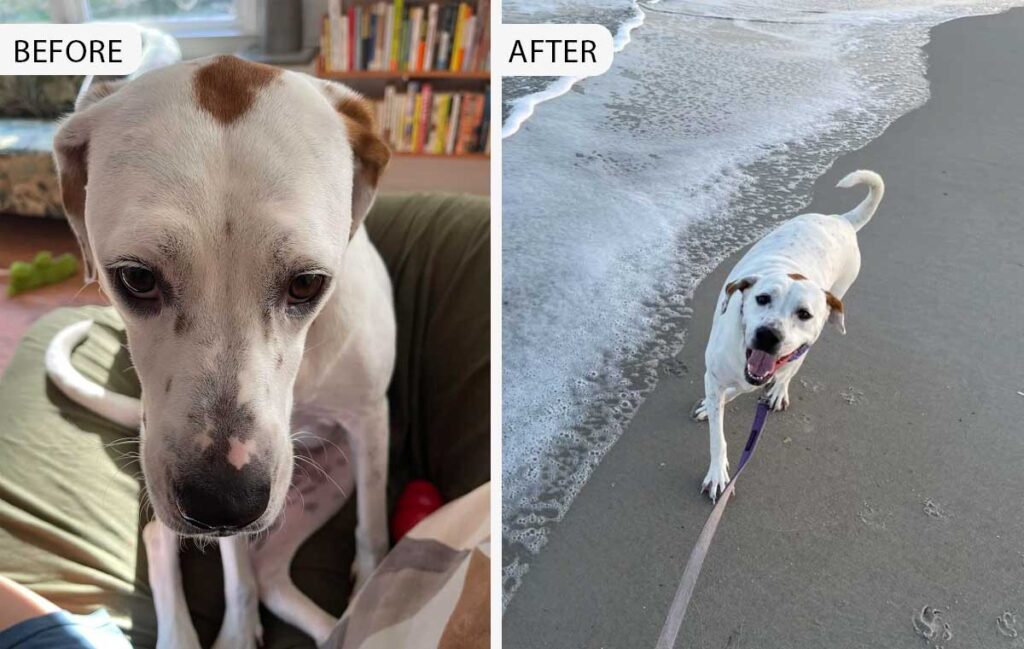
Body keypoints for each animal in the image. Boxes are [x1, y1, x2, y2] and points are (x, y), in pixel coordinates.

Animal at [43, 56, 391, 646]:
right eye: (136, 278)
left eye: (307, 284)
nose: (222, 503)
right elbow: (235, 567)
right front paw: (235, 629)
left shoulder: (369, 421)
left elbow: (372, 526)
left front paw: (376, 596)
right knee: (167, 541)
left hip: (332, 472)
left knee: (272, 571)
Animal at [696, 167, 880, 499]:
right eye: (762, 298)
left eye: (804, 314)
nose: (769, 335)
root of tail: (842, 221)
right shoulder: (716, 373)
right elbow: (718, 432)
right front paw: (717, 470)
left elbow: (744, 388)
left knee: (791, 370)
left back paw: (778, 391)